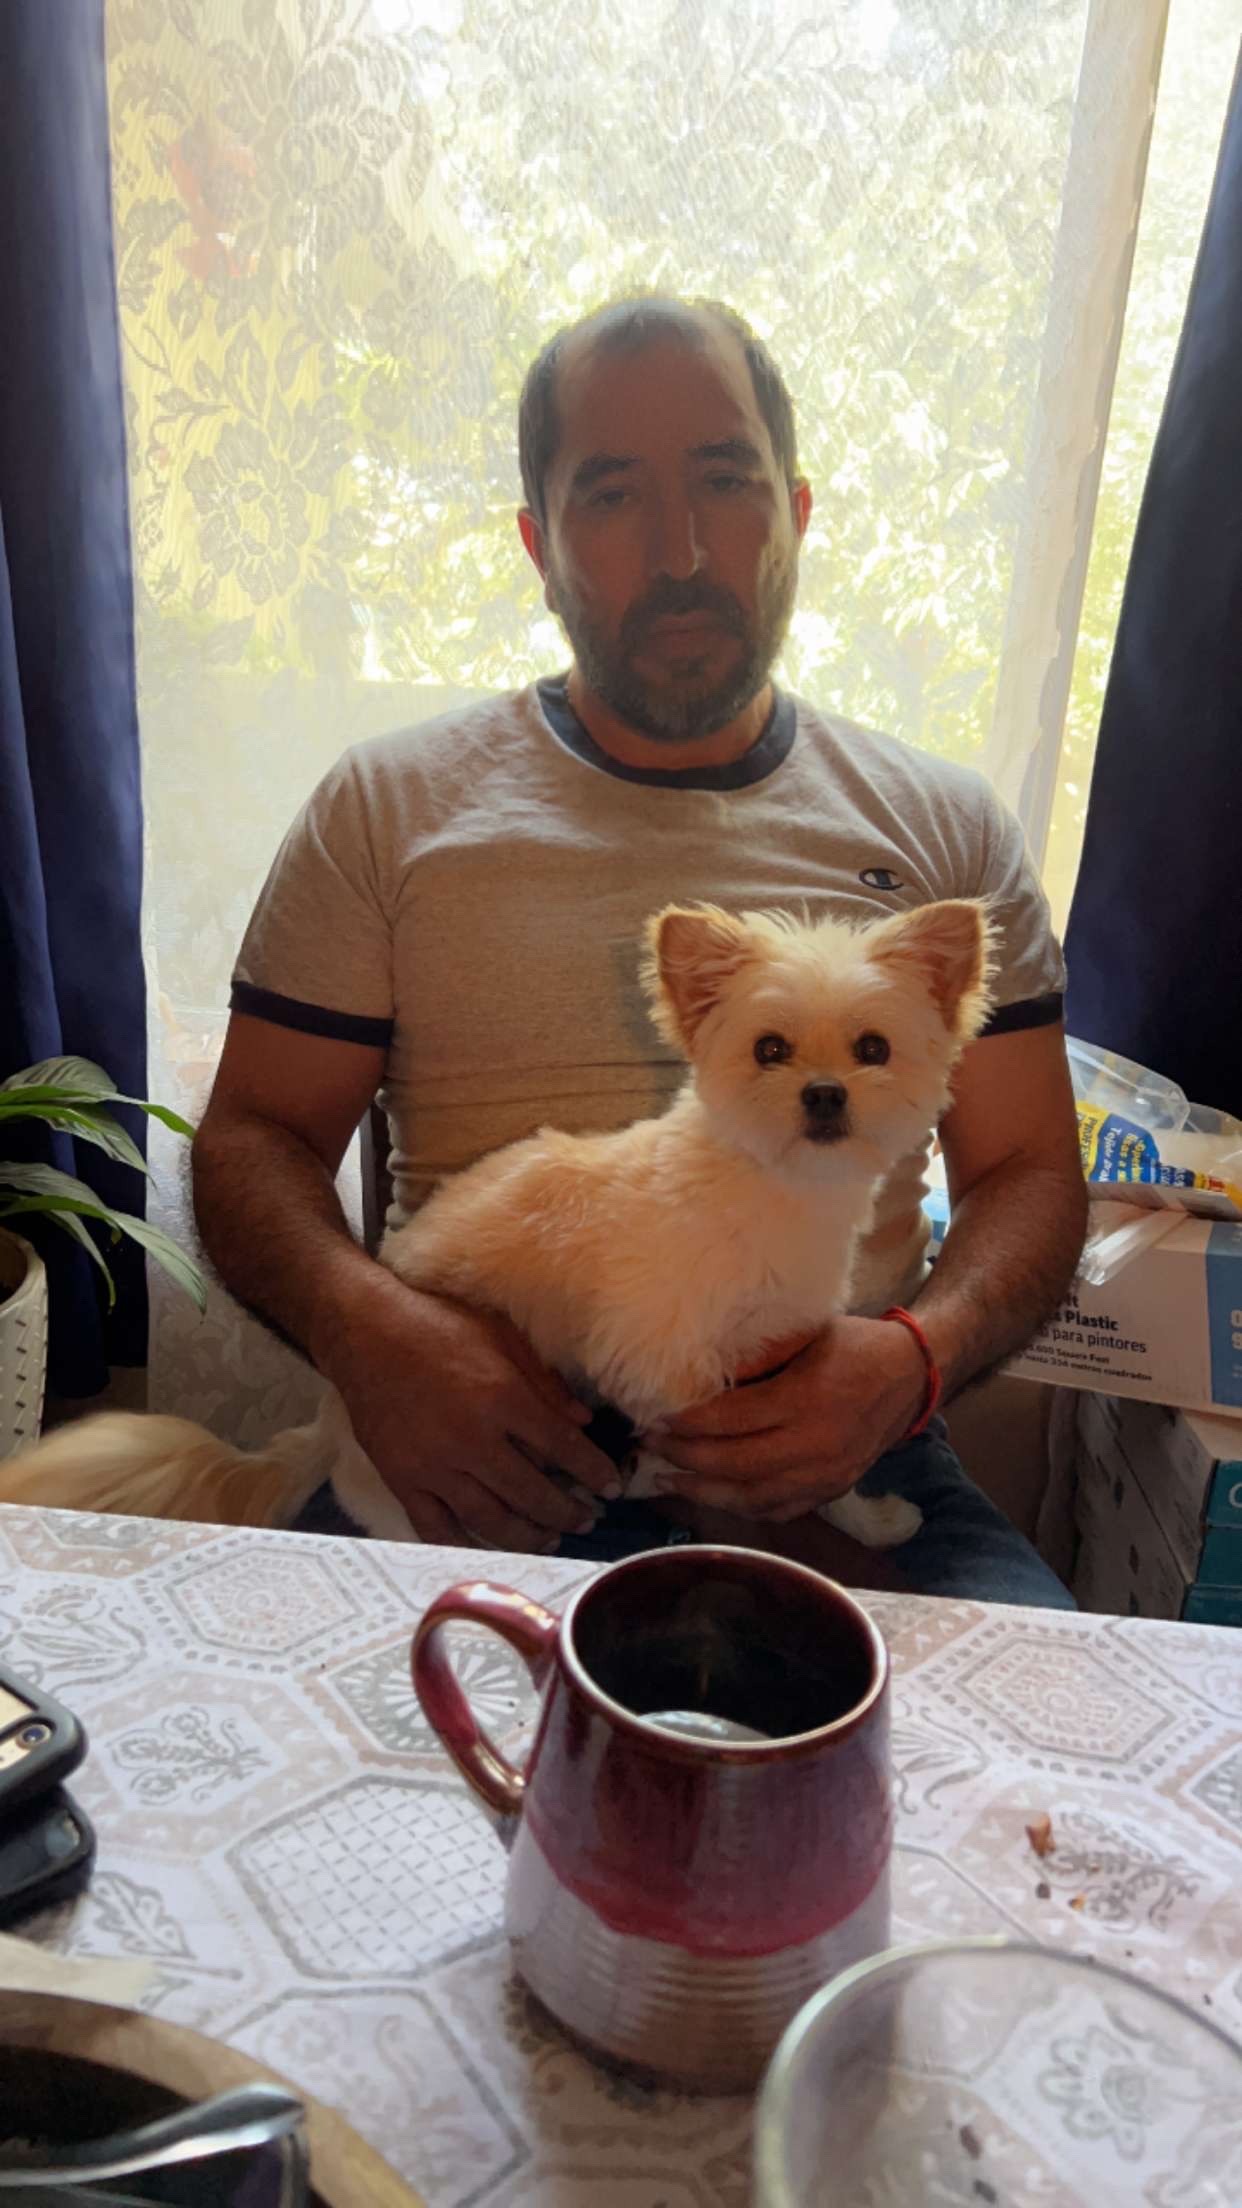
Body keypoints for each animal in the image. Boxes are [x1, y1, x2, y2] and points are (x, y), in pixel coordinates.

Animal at [0, 898, 994, 1549]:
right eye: (770, 1050)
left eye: (873, 1049)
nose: (824, 1094)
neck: (771, 1189)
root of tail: (327, 1428)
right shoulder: (663, 1368)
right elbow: (722, 1456)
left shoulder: (779, 1357)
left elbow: (828, 1469)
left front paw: (871, 1517)